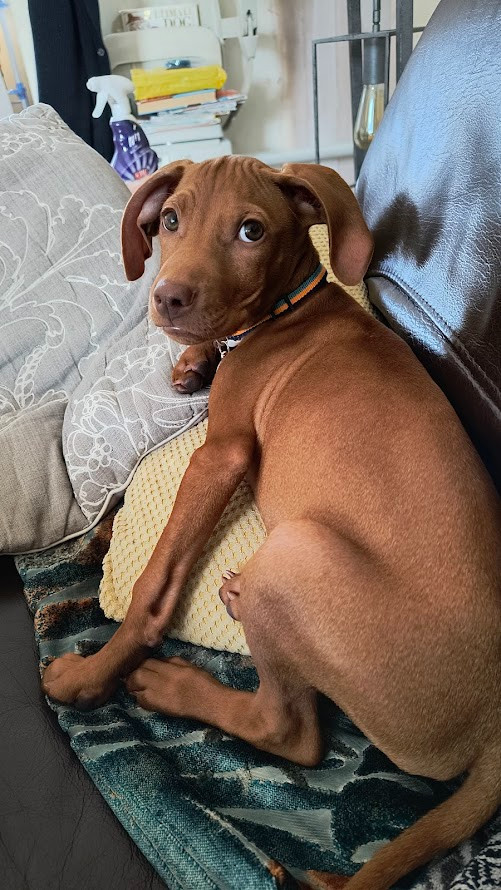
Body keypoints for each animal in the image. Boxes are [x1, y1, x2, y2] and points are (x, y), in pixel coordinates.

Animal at [44, 156, 500, 884]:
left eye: (251, 232)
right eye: (170, 220)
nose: (167, 299)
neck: (290, 307)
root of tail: (493, 729)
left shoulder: (220, 454)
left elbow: (153, 585)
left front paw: (94, 675)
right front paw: (192, 360)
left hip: (293, 554)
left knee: (290, 731)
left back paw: (174, 682)